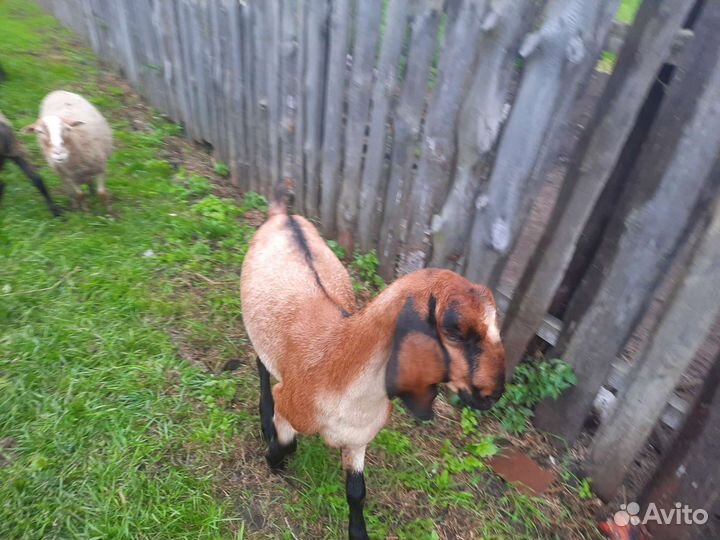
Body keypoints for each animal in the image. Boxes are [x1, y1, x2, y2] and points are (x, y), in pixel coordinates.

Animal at [240, 183, 506, 540]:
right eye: (454, 329)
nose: (494, 392)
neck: (336, 363)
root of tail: (284, 215)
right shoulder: (290, 403)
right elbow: (287, 443)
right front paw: (273, 458)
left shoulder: (358, 437)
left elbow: (357, 491)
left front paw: (358, 532)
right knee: (261, 367)